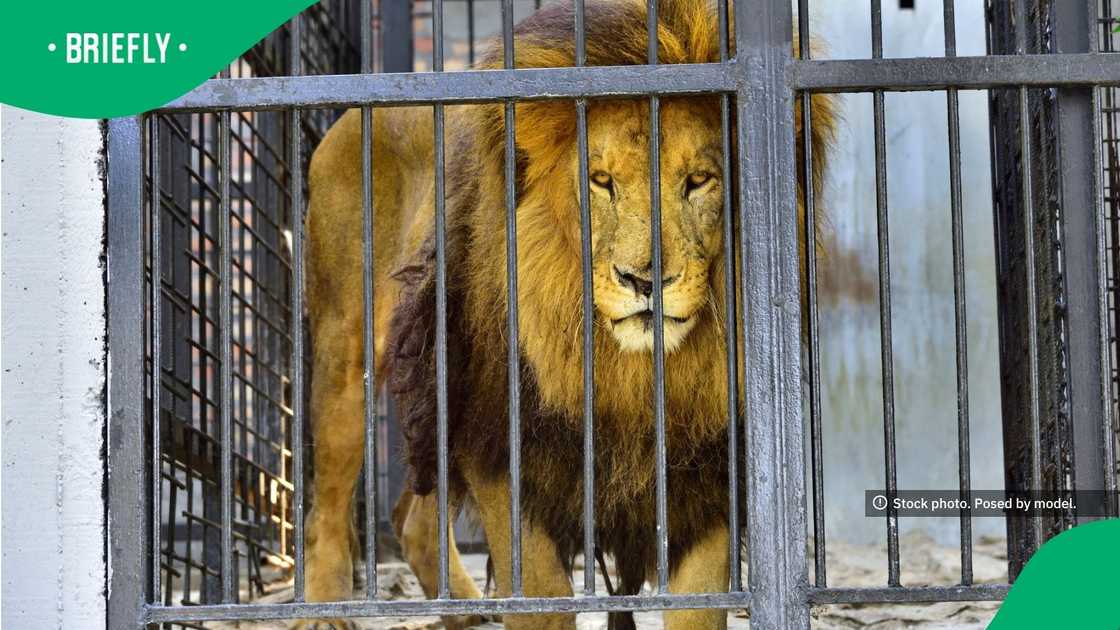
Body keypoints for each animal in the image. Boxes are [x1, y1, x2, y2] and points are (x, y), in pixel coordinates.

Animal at [297, 1, 835, 629]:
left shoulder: (710, 472)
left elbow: (699, 606)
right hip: (348, 352)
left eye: (699, 180)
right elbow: (543, 597)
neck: (628, 375)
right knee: (326, 505)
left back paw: (467, 613)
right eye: (601, 182)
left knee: (414, 519)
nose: (645, 280)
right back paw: (322, 608)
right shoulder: (502, 446)